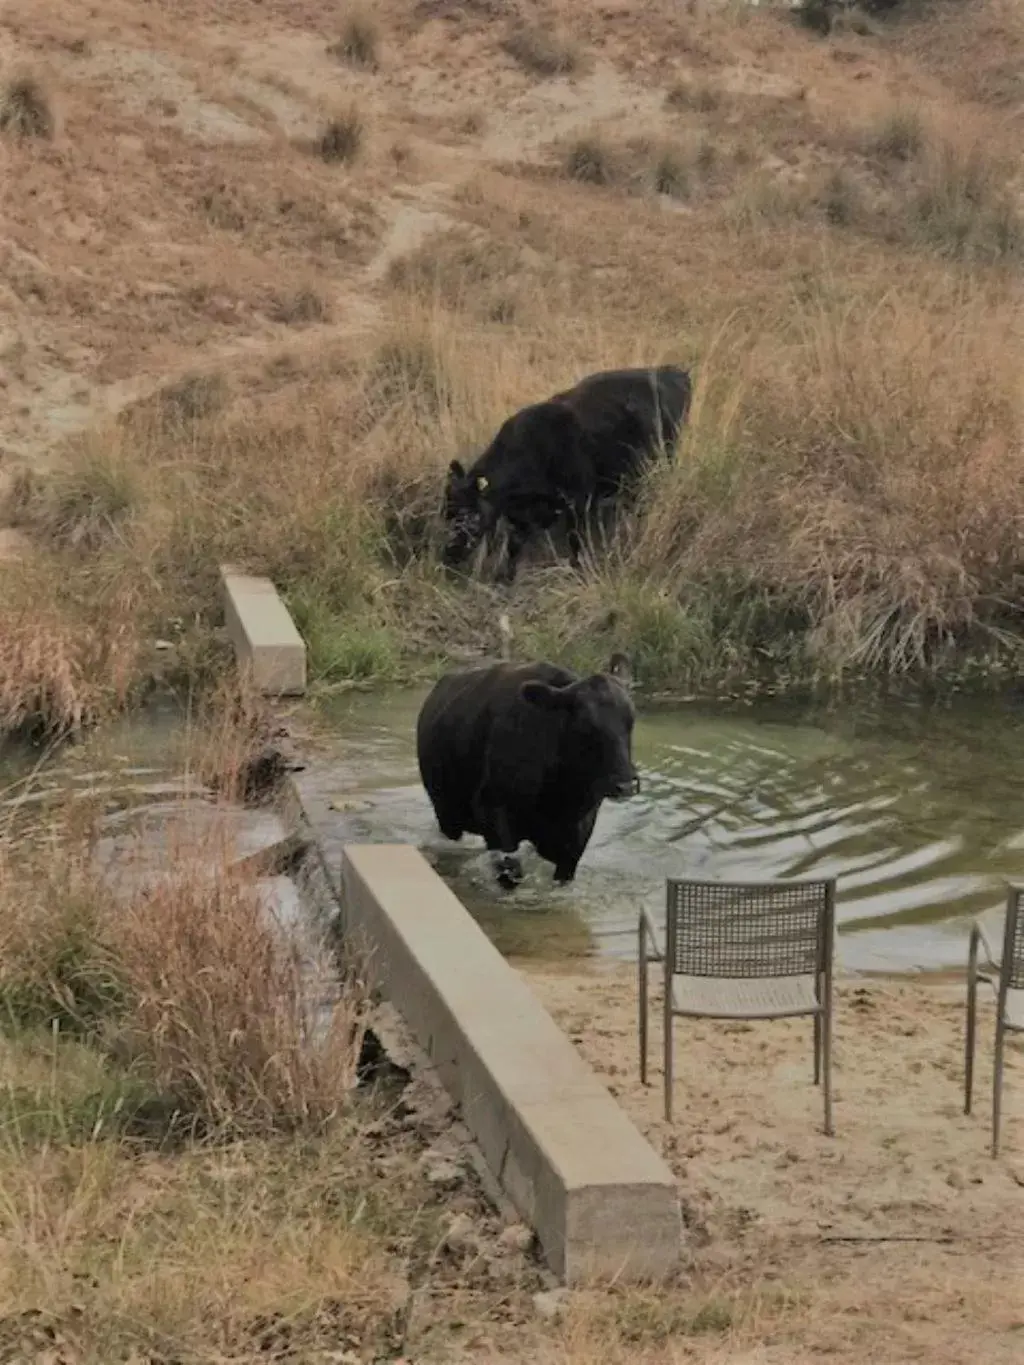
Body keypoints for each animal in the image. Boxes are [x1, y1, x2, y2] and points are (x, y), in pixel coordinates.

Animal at [417, 655, 641, 889]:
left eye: (631, 720)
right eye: (585, 725)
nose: (626, 785)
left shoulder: (578, 836)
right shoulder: (494, 817)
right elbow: (510, 872)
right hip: (446, 814)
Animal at [439, 363, 690, 581]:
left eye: (469, 514)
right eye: (446, 513)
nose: (448, 554)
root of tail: (672, 372)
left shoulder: (578, 503)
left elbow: (575, 542)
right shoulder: (523, 517)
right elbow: (513, 546)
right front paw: (505, 578)